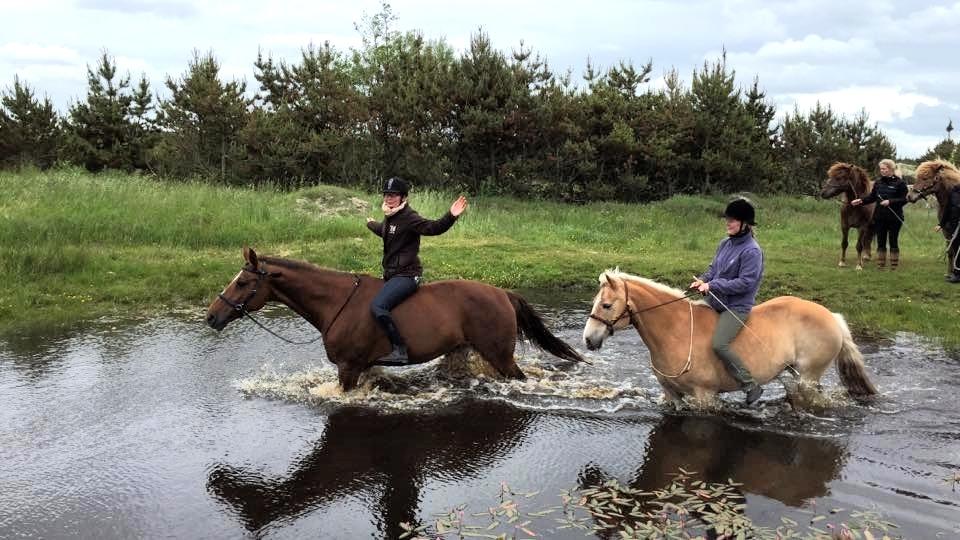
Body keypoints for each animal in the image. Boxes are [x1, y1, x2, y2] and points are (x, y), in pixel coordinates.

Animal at [208, 247, 584, 390]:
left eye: (241, 283)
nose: (212, 316)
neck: (335, 302)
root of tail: (503, 293)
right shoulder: (363, 367)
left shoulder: (348, 369)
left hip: (501, 356)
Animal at [576, 270, 876, 404]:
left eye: (606, 305)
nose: (589, 339)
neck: (675, 331)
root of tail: (832, 317)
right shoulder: (671, 395)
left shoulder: (704, 396)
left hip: (809, 376)